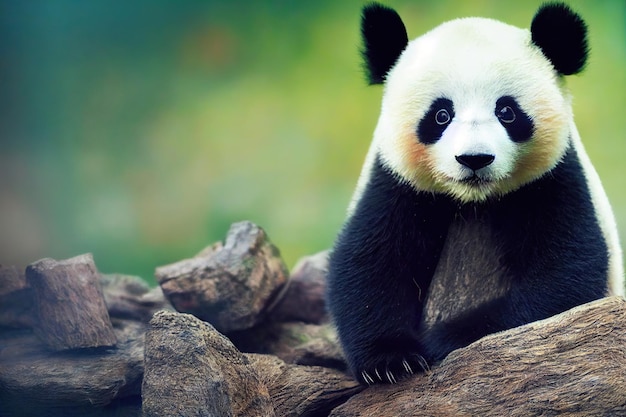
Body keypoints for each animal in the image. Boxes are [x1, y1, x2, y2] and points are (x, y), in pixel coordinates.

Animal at [324, 2, 620, 386]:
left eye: (507, 111)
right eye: (440, 115)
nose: (474, 159)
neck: (476, 200)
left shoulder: (553, 179)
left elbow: (564, 276)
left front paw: (441, 340)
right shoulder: (398, 183)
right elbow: (369, 263)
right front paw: (392, 361)